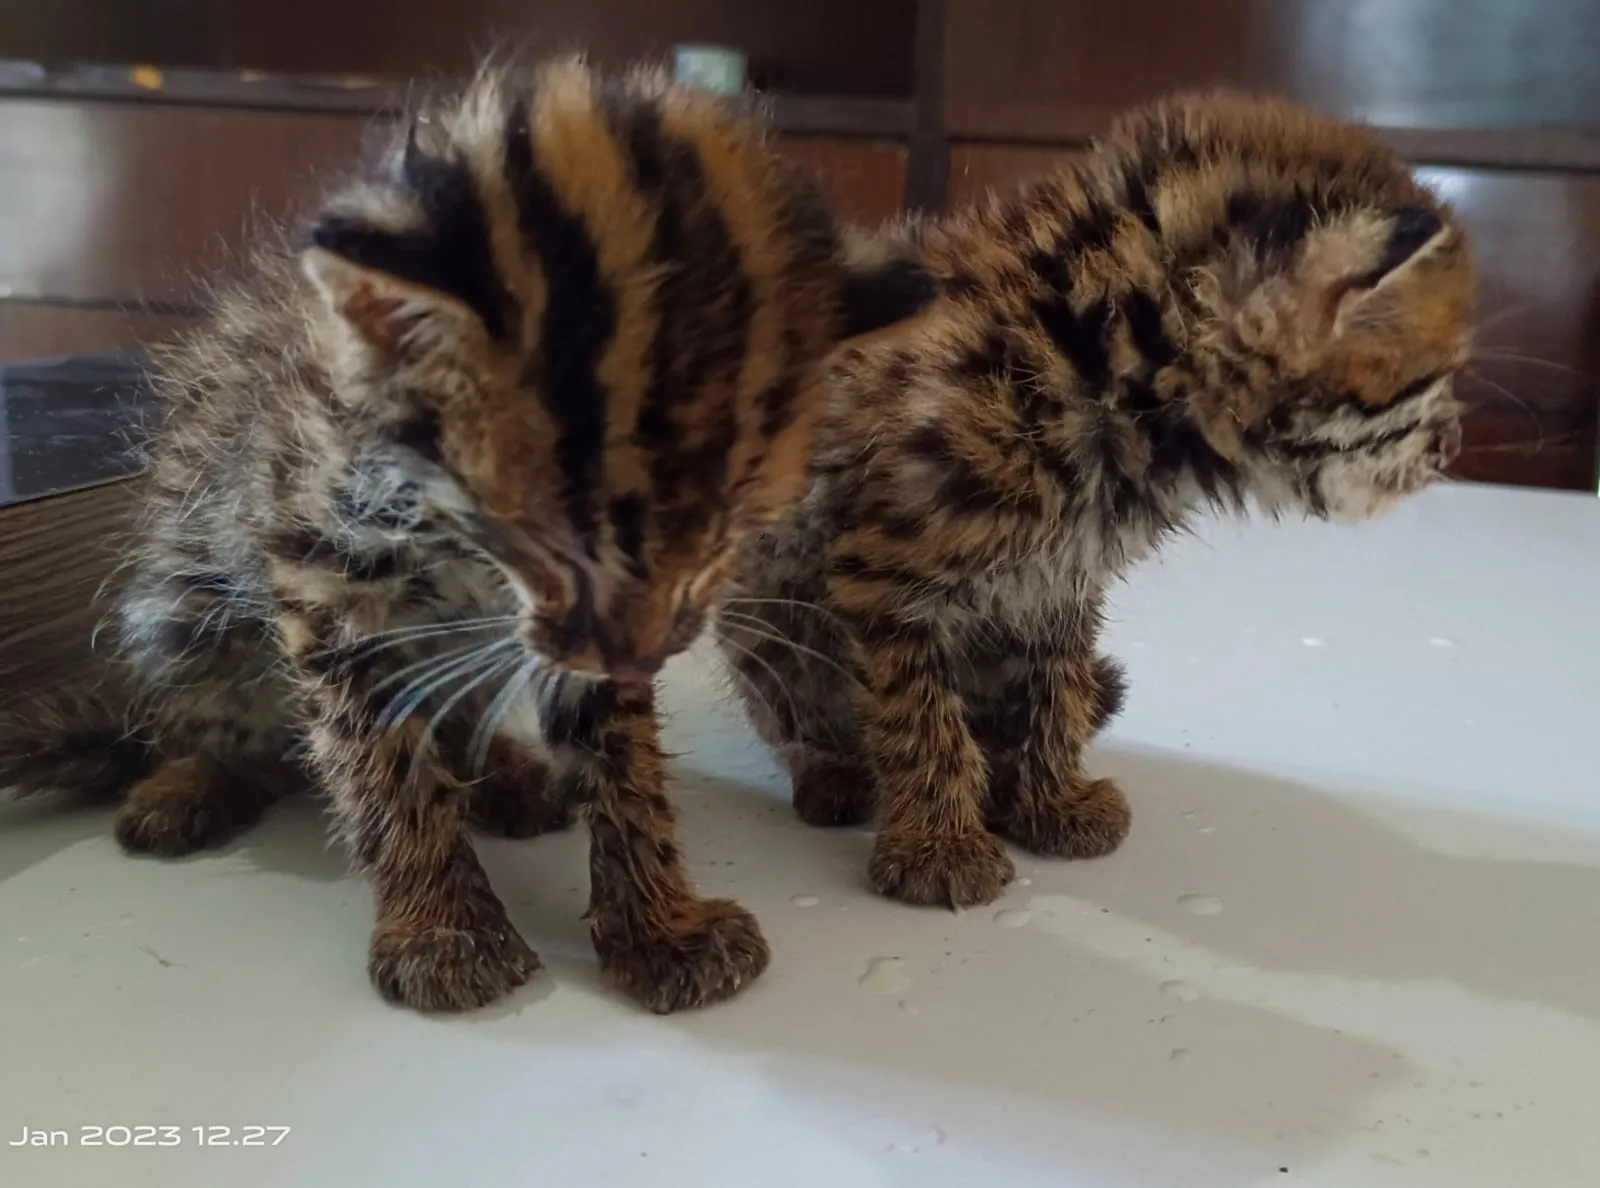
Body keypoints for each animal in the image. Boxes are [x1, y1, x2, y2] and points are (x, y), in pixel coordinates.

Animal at [0, 57, 934, 1013]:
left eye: (725, 539)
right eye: (549, 533)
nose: (642, 654)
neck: (465, 554)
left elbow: (621, 758)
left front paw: (658, 925)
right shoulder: (323, 581)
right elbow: (379, 761)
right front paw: (444, 930)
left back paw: (507, 776)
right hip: (178, 614)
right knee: (224, 727)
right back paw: (190, 779)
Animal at [717, 92, 1475, 908]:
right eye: (1431, 381)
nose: (1455, 446)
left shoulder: (1059, 583)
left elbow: (1054, 688)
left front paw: (1051, 799)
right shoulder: (883, 575)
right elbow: (916, 714)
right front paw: (938, 847)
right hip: (759, 611)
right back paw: (834, 773)